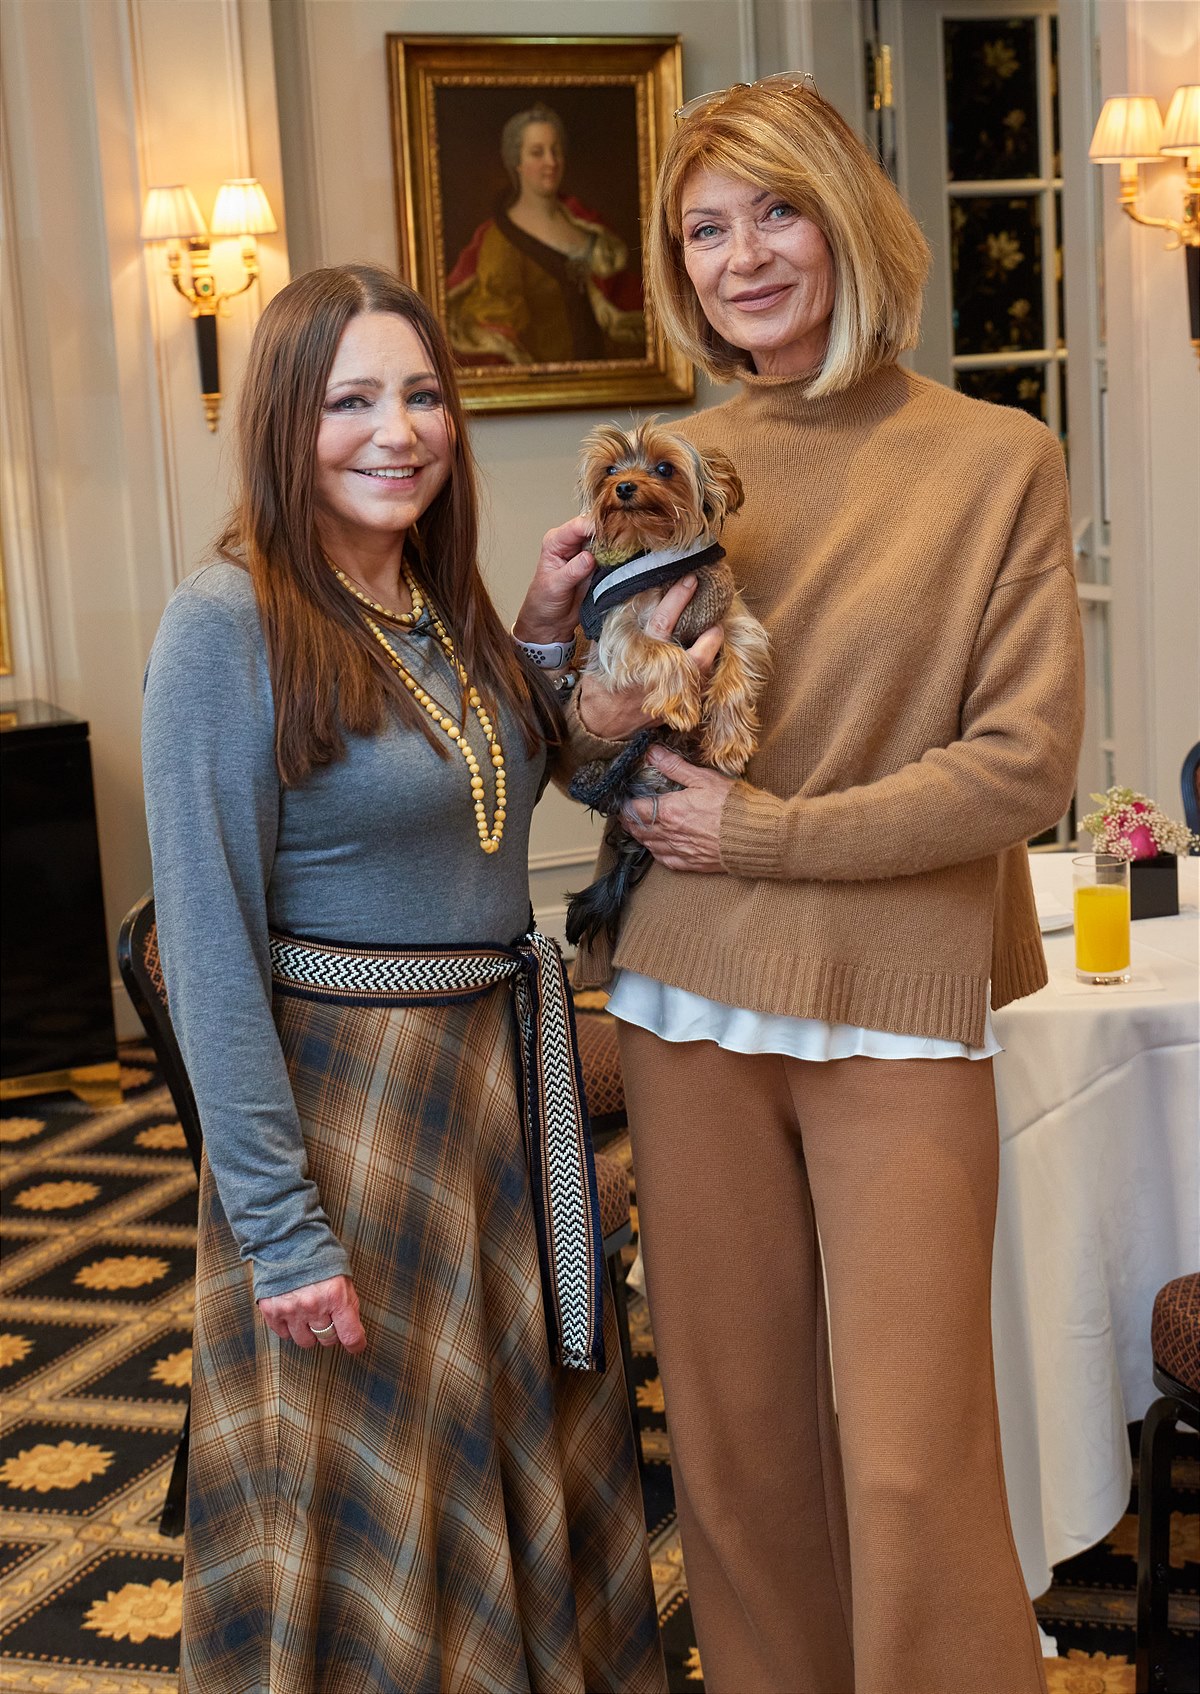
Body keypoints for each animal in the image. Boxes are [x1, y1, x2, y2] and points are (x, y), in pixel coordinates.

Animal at [566, 416, 769, 948]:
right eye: (610, 469)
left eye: (663, 468)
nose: (624, 487)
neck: (656, 555)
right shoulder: (621, 632)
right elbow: (665, 653)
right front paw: (680, 704)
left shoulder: (730, 618)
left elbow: (737, 670)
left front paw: (729, 743)